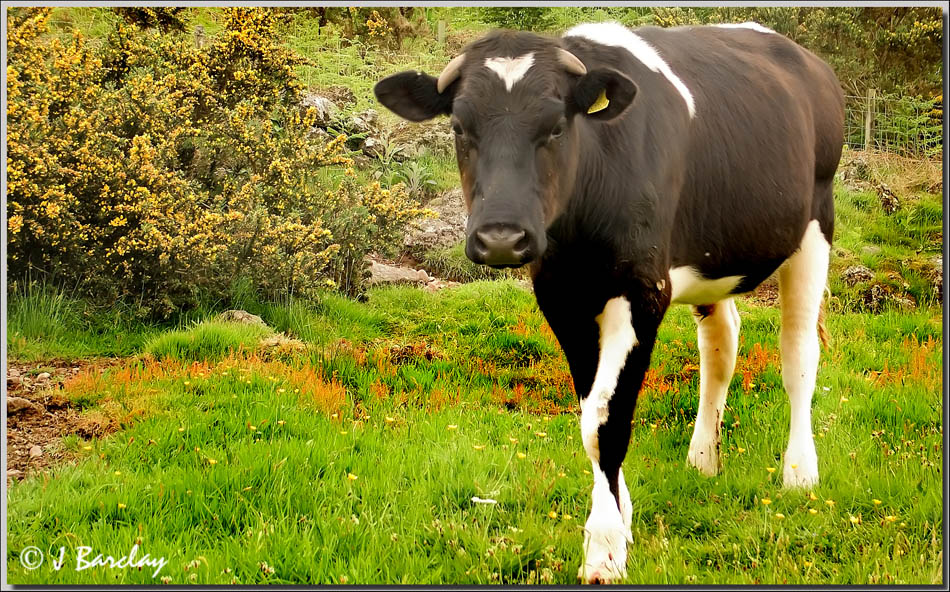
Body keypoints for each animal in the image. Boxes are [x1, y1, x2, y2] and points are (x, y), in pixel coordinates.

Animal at [375, 20, 844, 583]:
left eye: (557, 126)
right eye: (460, 127)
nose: (501, 238)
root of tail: (805, 58)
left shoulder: (643, 290)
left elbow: (606, 419)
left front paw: (603, 549)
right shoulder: (561, 296)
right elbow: (589, 413)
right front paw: (621, 521)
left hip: (816, 221)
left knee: (798, 352)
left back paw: (799, 472)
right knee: (721, 346)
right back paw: (703, 458)